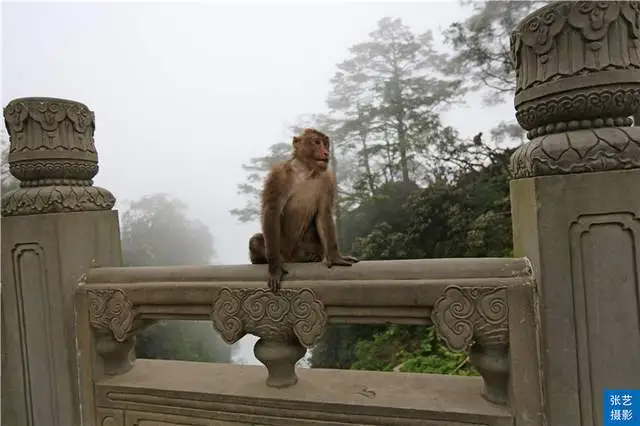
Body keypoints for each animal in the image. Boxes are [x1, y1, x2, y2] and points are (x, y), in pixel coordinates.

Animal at [250, 128, 360, 292]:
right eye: (317, 142)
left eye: (326, 143)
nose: (326, 152)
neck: (307, 171)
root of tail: (291, 258)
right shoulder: (278, 175)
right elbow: (271, 211)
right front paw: (275, 268)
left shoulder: (328, 179)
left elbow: (323, 214)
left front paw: (335, 257)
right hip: (281, 249)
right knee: (256, 241)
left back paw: (309, 257)